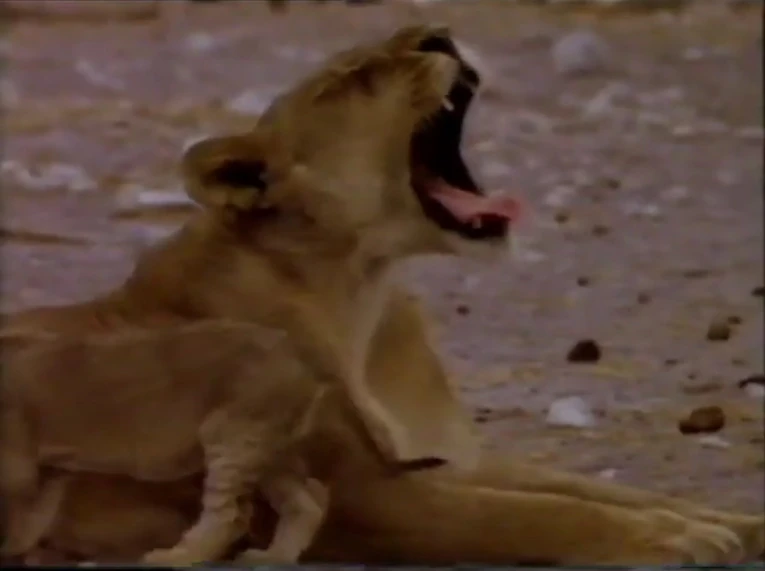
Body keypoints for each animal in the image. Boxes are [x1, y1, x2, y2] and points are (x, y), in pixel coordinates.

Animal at [3, 25, 763, 565]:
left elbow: (591, 486)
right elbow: (533, 513)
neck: (361, 298)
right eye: (357, 78)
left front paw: (727, 521)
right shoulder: (364, 496)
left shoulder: (452, 457)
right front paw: (676, 539)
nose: (442, 36)